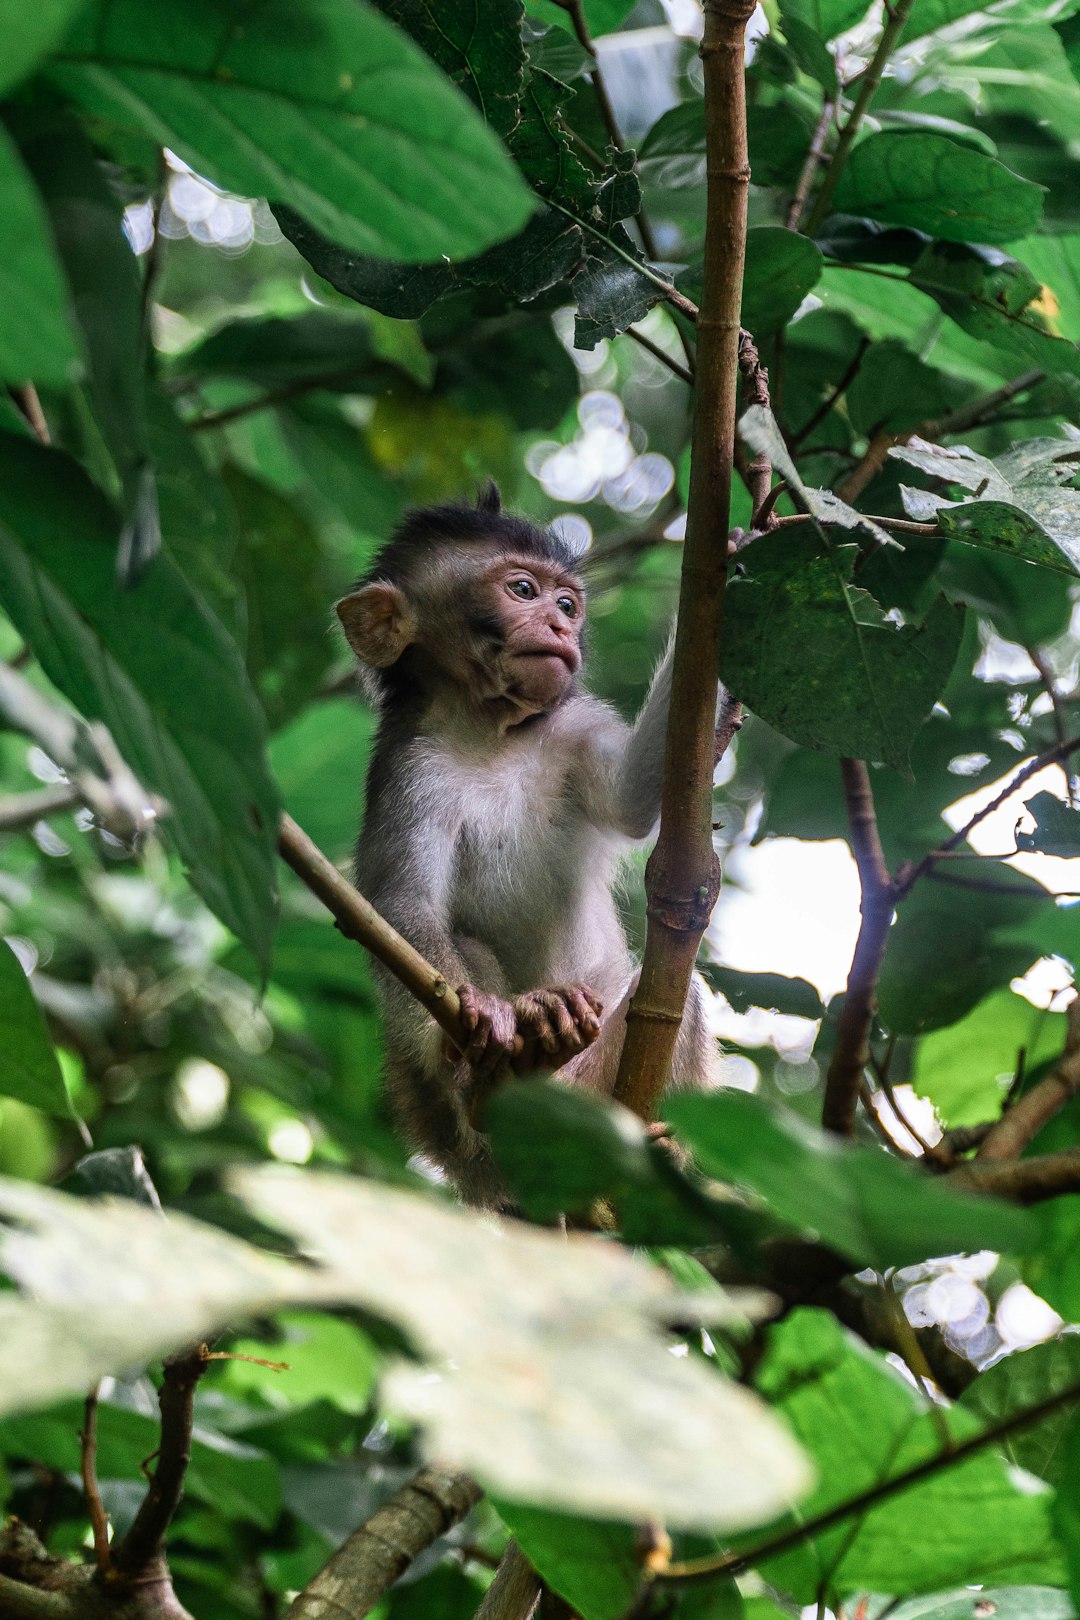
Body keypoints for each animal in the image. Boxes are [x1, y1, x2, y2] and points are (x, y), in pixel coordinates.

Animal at [338, 486, 722, 1211]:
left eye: (568, 604)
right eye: (523, 590)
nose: (562, 630)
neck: (493, 733)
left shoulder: (573, 723)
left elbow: (636, 800)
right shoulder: (411, 772)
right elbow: (401, 903)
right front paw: (482, 1012)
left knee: (677, 997)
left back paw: (657, 1149)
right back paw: (497, 1066)